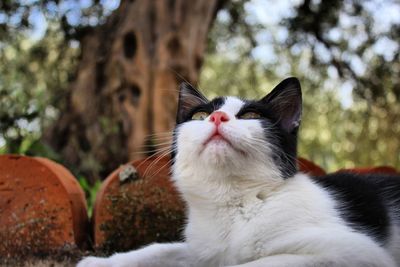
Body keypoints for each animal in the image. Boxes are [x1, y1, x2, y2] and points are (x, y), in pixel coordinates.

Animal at [77, 78, 400, 267]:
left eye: (252, 115)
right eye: (200, 115)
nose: (217, 117)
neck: (234, 202)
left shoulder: (354, 251)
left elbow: (257, 263)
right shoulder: (204, 250)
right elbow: (163, 249)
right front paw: (101, 263)